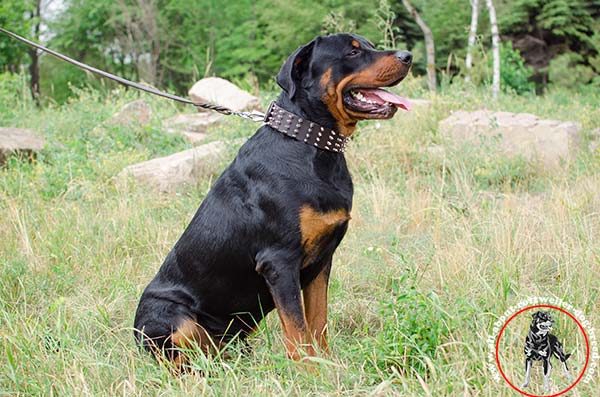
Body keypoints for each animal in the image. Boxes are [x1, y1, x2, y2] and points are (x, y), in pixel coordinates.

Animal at [133, 33, 412, 366]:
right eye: (352, 52)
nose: (408, 55)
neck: (311, 143)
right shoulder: (279, 261)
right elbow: (298, 332)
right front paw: (309, 372)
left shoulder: (321, 262)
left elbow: (318, 323)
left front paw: (328, 366)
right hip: (171, 316)